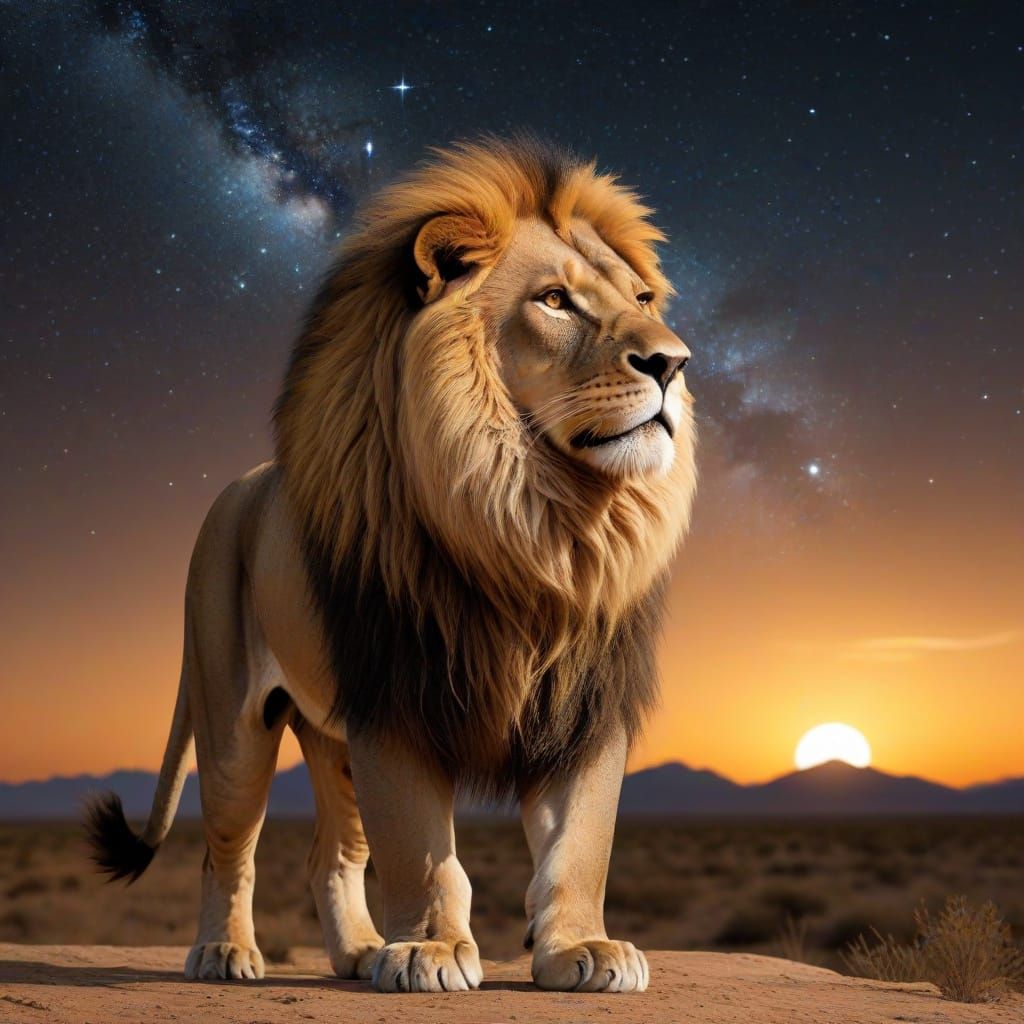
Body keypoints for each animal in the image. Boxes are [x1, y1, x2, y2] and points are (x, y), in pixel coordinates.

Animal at [85, 136, 697, 994]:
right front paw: (430, 952)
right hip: (236, 719)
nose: (673, 362)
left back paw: (358, 953)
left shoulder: (584, 708)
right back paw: (225, 954)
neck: (540, 522)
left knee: (330, 856)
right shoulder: (397, 697)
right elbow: (421, 852)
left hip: (332, 739)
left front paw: (582, 949)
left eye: (644, 297)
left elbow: (581, 845)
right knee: (227, 848)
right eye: (554, 300)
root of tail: (238, 489)